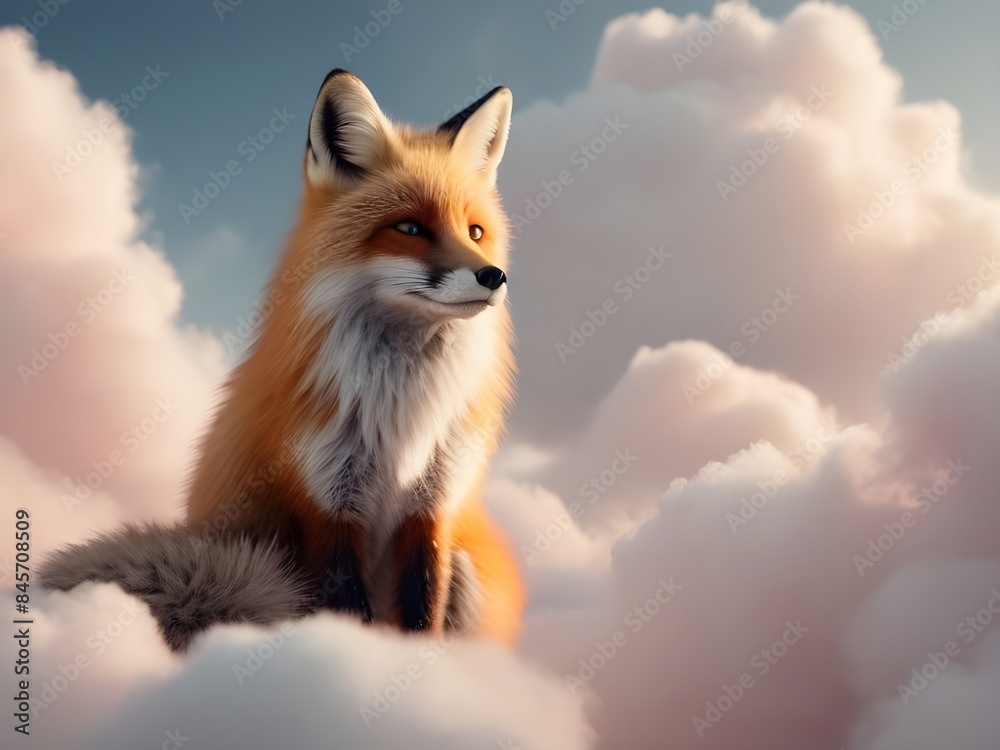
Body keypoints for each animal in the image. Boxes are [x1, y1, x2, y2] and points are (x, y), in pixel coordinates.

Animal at [41, 69, 523, 651]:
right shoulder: (325, 500)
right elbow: (349, 610)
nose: (493, 276)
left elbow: (423, 610)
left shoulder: (433, 504)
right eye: (409, 228)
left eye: (475, 232)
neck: (401, 415)